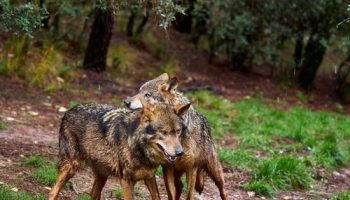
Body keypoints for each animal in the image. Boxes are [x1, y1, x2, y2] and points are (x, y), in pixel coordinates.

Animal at [47, 101, 190, 199]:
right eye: (164, 133)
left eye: (178, 131)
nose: (180, 152)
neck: (138, 147)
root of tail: (69, 110)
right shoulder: (126, 181)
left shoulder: (149, 177)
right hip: (71, 167)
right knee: (52, 192)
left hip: (102, 174)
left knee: (93, 193)